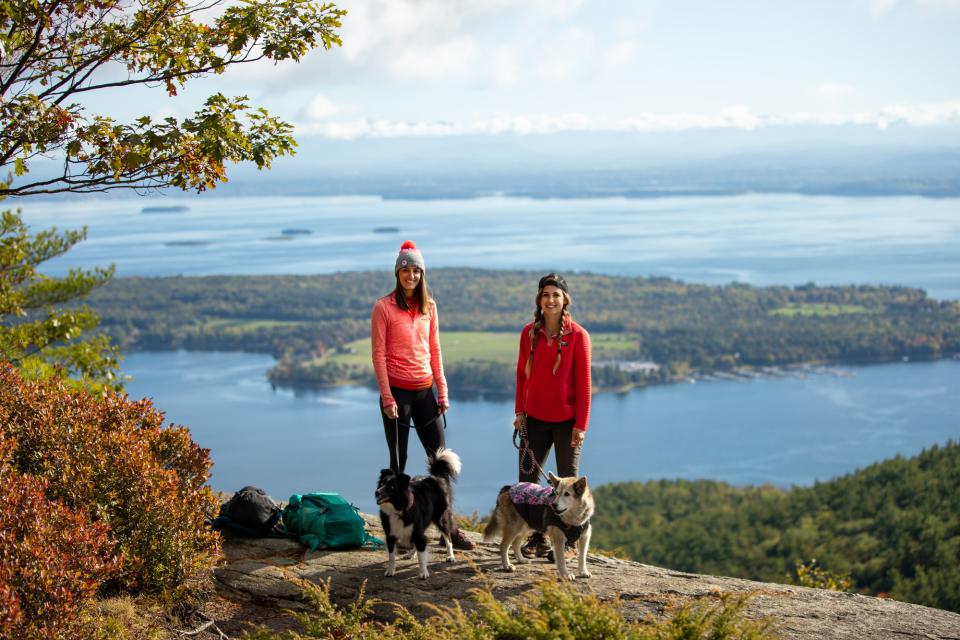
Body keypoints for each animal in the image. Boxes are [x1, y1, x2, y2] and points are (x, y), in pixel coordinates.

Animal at [376, 448, 462, 576]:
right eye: (381, 484)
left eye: (392, 487)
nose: (376, 492)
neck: (398, 509)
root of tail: (436, 477)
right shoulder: (390, 534)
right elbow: (391, 556)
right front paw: (390, 571)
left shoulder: (417, 530)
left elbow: (422, 557)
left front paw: (423, 574)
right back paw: (410, 554)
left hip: (441, 518)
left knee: (448, 538)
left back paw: (450, 556)